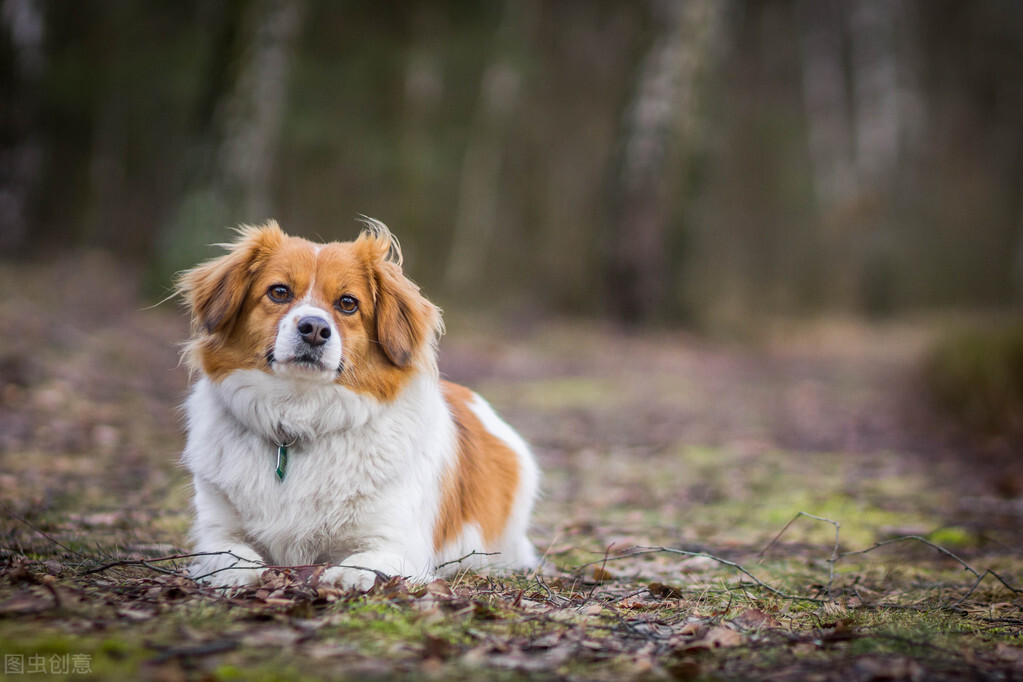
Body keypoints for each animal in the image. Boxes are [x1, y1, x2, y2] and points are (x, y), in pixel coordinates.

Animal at [175, 221, 544, 588]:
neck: (299, 417)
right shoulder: (216, 529)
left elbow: (361, 562)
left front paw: (344, 575)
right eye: (279, 292)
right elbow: (228, 553)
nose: (314, 328)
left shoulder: (396, 542)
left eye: (348, 303)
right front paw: (240, 573)